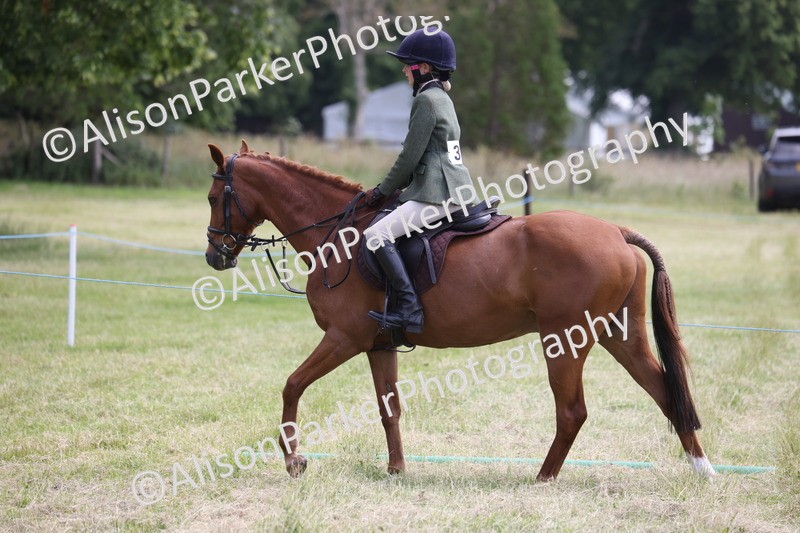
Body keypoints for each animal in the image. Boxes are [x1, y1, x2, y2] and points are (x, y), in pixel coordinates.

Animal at [203, 140, 714, 481]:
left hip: (565, 341)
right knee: (666, 394)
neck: (340, 237)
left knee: (572, 412)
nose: (215, 256)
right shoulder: (378, 345)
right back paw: (702, 470)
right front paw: (397, 470)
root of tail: (615, 232)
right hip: (619, 333)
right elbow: (389, 407)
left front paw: (294, 459)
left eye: (212, 199)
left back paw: (543, 479)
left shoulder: (344, 338)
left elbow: (291, 386)